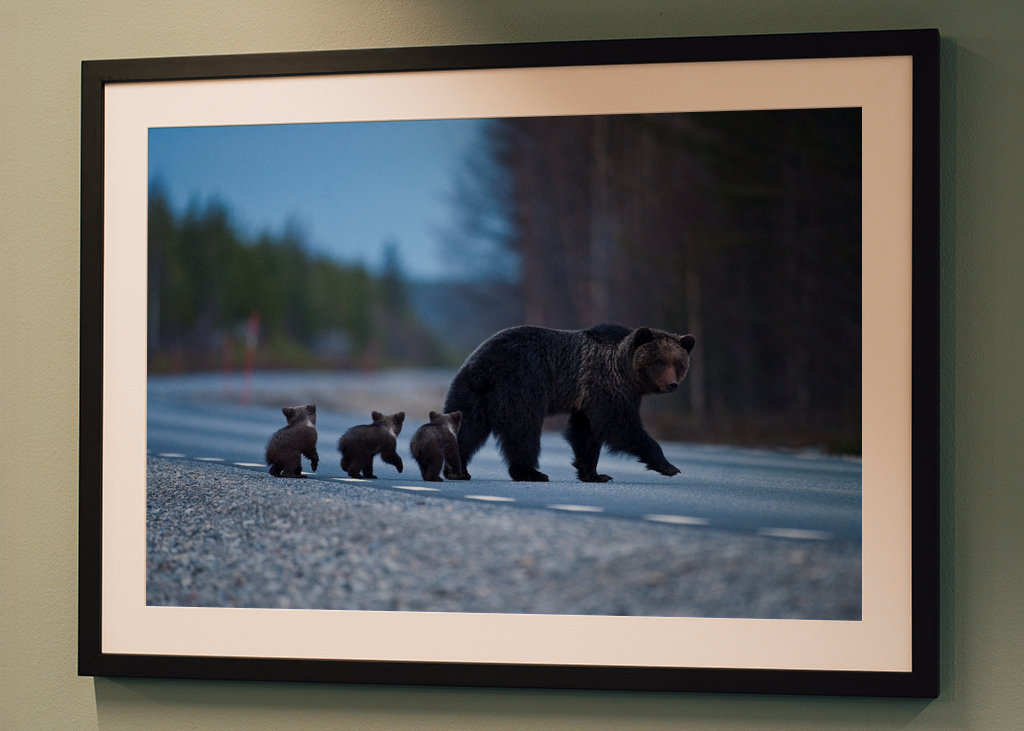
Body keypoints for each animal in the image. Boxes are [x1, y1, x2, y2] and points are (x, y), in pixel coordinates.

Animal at [442, 324, 695, 482]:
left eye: (678, 363)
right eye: (659, 361)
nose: (672, 384)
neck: (626, 372)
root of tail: (485, 364)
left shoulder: (587, 397)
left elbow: (586, 433)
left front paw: (595, 474)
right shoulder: (606, 385)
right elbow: (619, 425)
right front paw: (669, 466)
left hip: (471, 391)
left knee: (466, 427)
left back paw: (458, 470)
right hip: (522, 382)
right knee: (523, 429)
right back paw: (531, 472)